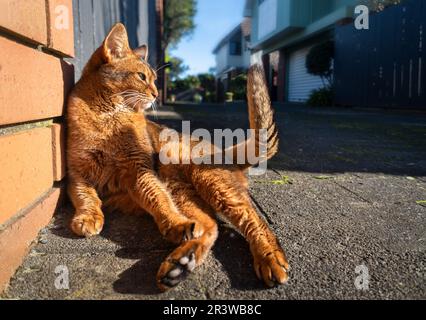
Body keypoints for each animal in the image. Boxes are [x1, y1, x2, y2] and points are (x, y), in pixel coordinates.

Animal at [66, 23, 288, 290]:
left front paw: (174, 223)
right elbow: (85, 196)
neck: (108, 118)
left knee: (254, 219)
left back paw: (269, 259)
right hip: (182, 191)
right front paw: (88, 217)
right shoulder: (76, 173)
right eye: (142, 77)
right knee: (209, 225)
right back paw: (180, 264)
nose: (154, 93)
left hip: (205, 177)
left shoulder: (140, 171)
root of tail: (221, 149)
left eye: (153, 79)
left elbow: (158, 199)